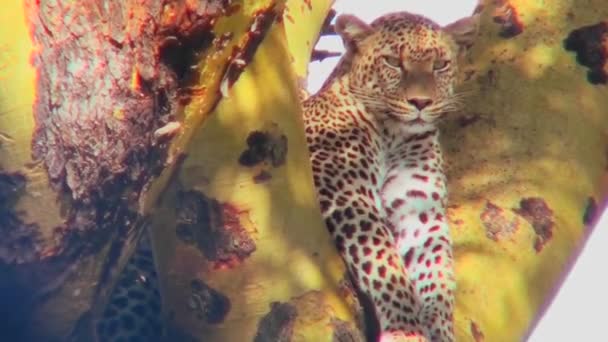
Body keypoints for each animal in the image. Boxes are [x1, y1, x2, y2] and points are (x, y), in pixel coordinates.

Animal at [302, 10, 478, 342]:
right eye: (393, 62)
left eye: (440, 65)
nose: (420, 103)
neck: (392, 135)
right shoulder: (346, 192)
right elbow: (385, 263)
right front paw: (405, 330)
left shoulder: (419, 209)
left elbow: (437, 272)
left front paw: (439, 329)